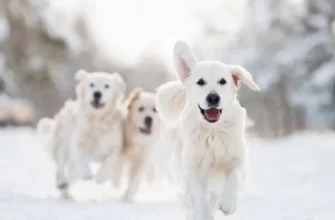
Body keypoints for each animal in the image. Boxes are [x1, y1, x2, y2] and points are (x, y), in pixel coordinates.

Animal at [37, 69, 126, 199]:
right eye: (91, 84)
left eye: (107, 86)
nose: (97, 93)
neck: (97, 120)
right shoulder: (78, 142)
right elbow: (81, 158)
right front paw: (87, 174)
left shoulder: (116, 145)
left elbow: (111, 159)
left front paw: (101, 177)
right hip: (63, 146)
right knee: (60, 167)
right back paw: (61, 183)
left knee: (70, 177)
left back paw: (66, 192)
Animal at [156, 41, 262, 220]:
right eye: (200, 82)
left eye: (223, 81)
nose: (213, 97)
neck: (213, 131)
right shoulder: (193, 170)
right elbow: (199, 198)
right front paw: (202, 214)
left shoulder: (238, 157)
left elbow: (234, 175)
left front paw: (228, 203)